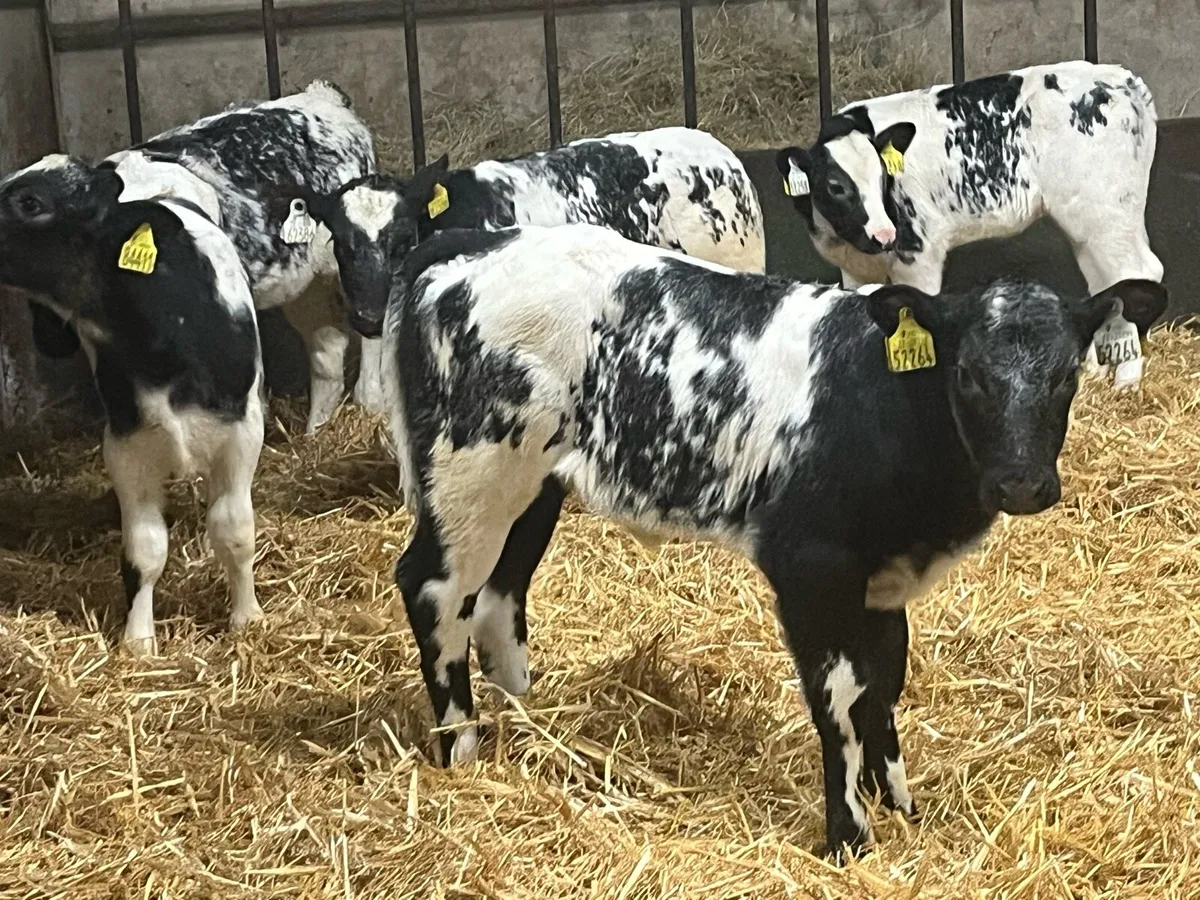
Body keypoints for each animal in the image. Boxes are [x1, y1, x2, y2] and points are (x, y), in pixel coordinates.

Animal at [0, 154, 266, 657]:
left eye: (31, 202)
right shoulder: (126, 444)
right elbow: (144, 549)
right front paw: (138, 640)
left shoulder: (241, 431)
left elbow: (234, 529)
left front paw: (247, 619)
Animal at [376, 222, 1167, 859]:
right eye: (968, 374)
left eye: (1067, 373)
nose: (1022, 484)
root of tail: (468, 244)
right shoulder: (811, 564)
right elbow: (839, 696)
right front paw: (849, 835)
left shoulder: (881, 578)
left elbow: (885, 682)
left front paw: (897, 803)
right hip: (472, 475)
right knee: (436, 589)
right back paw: (463, 750)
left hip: (534, 487)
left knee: (497, 597)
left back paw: (528, 724)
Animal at [774, 61, 1164, 390]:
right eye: (835, 186)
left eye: (884, 177)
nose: (884, 235)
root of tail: (1122, 79)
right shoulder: (853, 269)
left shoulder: (918, 254)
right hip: (1093, 225)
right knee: (1106, 282)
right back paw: (1099, 370)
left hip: (1106, 213)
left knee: (1137, 272)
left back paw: (1127, 378)